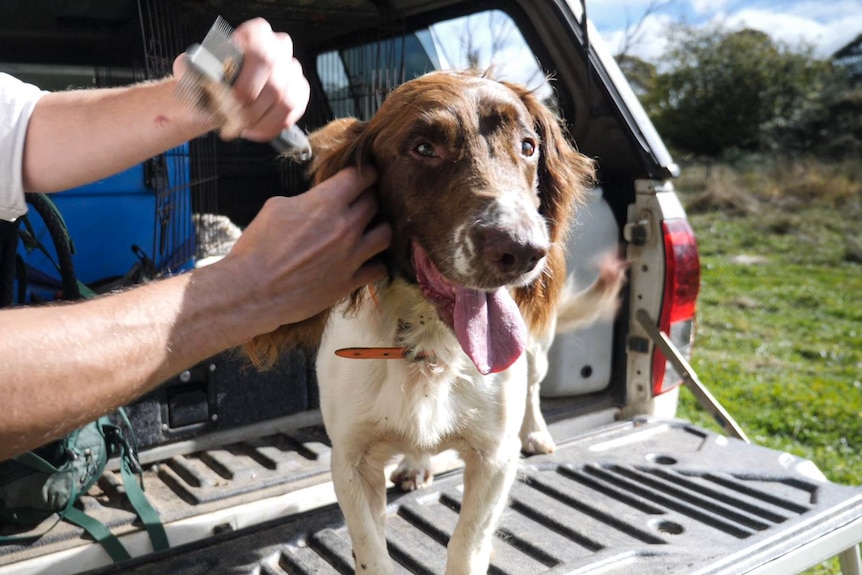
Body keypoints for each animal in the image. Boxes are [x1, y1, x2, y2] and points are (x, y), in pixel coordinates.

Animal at [246, 72, 624, 575]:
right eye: (424, 148)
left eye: (528, 146)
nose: (523, 250)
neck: (429, 339)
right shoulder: (350, 461)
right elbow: (371, 553)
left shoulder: (494, 458)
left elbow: (467, 544)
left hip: (536, 350)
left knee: (533, 388)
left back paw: (536, 432)